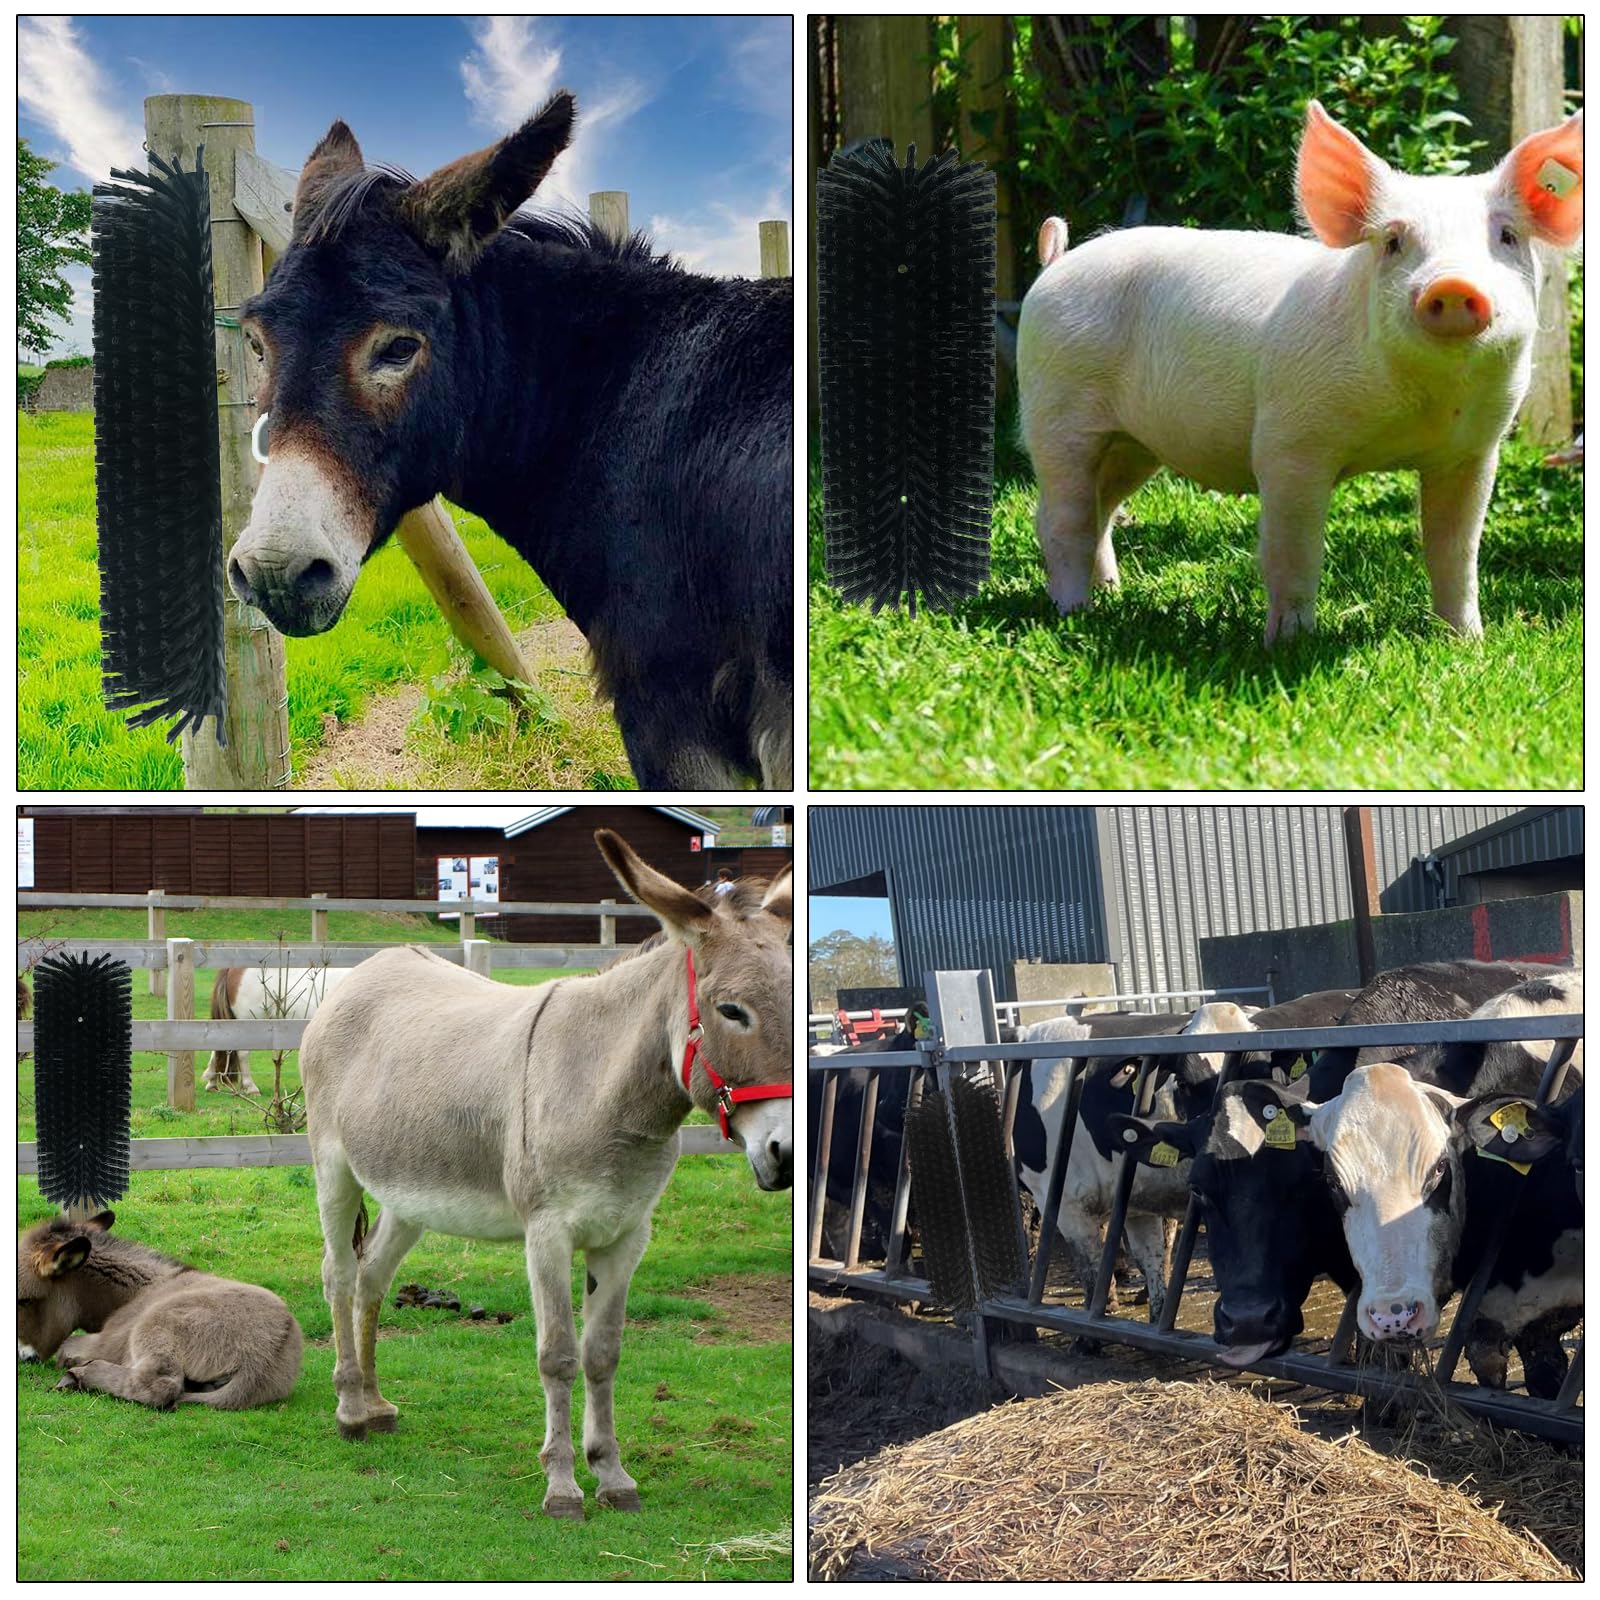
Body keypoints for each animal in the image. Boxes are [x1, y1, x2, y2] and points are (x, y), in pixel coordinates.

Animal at [298, 829, 792, 1519]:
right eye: (732, 1011)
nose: (786, 1154)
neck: (607, 1093)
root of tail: (371, 966)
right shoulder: (547, 1233)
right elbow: (558, 1355)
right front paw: (562, 1487)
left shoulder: (626, 1234)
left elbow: (603, 1354)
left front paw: (612, 1475)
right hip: (334, 1167)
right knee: (339, 1275)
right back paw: (348, 1409)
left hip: (410, 1193)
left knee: (372, 1277)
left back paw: (375, 1405)